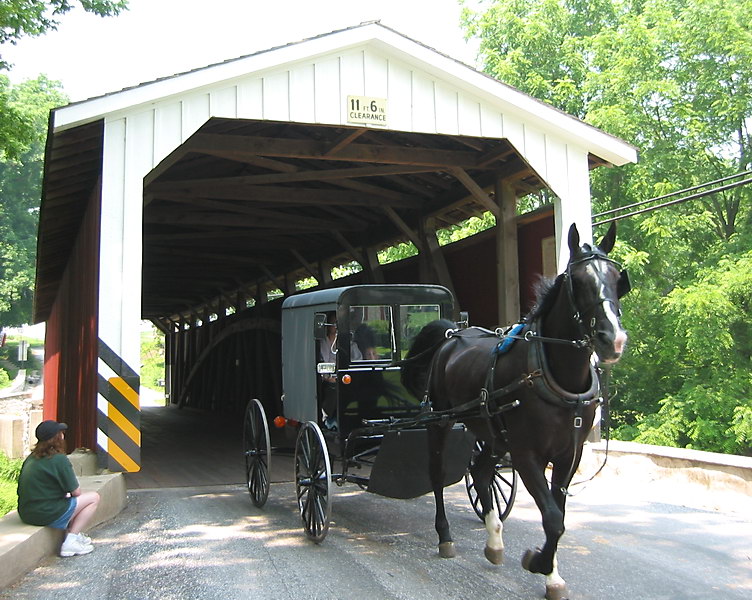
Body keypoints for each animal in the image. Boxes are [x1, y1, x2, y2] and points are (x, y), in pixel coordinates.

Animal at [402, 221, 632, 600]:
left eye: (617, 278)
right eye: (578, 280)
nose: (612, 339)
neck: (553, 373)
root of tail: (452, 334)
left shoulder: (569, 454)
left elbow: (559, 514)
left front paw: (551, 573)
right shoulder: (526, 454)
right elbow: (552, 517)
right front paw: (537, 562)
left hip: (492, 433)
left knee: (481, 472)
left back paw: (494, 541)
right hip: (442, 421)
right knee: (437, 474)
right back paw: (445, 535)